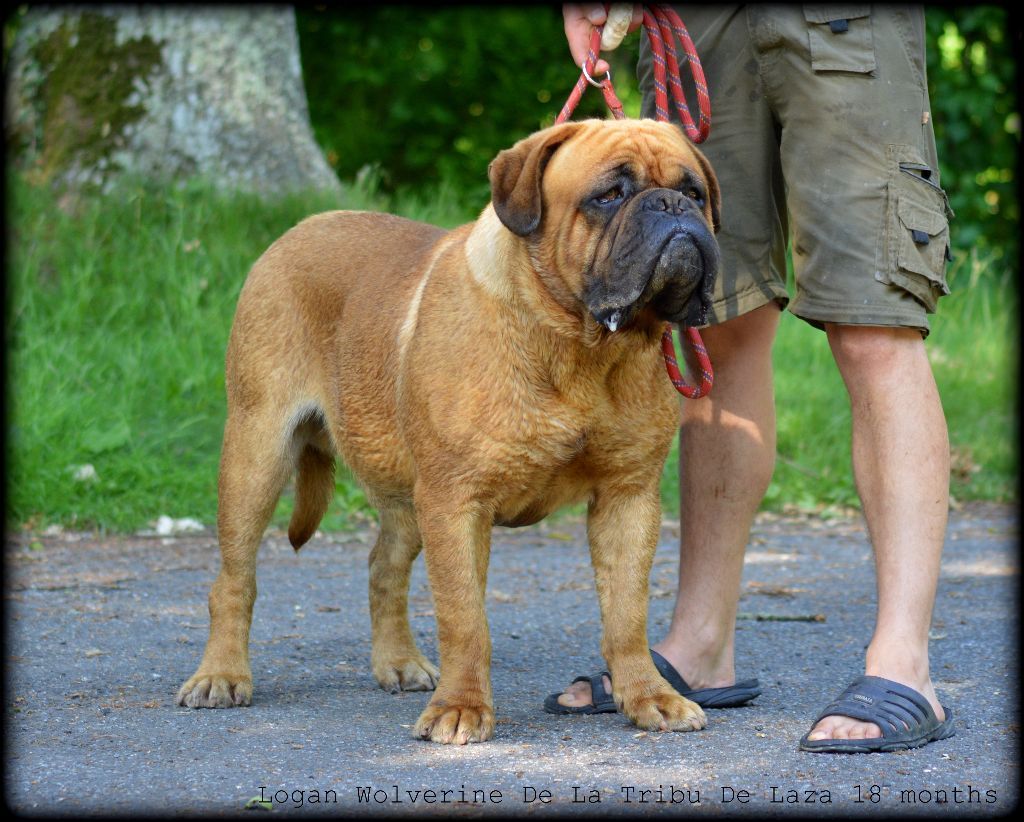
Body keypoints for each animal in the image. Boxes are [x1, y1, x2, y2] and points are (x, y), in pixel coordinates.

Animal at [176, 117, 720, 745]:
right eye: (609, 195)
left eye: (696, 192)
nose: (673, 206)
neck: (577, 346)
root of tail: (299, 229)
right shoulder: (456, 501)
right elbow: (464, 619)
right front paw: (460, 707)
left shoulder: (627, 498)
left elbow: (628, 614)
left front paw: (649, 695)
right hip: (257, 454)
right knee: (234, 579)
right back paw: (220, 673)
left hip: (405, 492)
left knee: (384, 568)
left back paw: (397, 662)